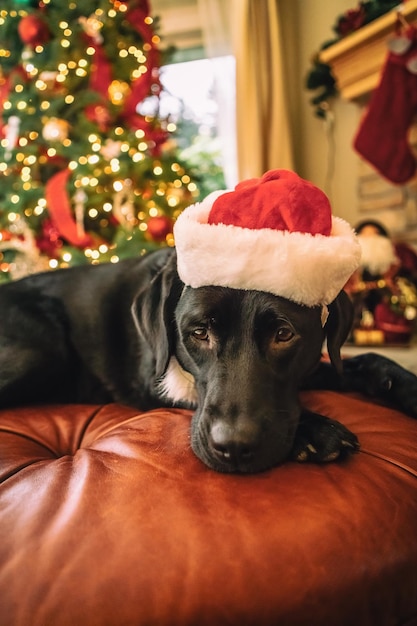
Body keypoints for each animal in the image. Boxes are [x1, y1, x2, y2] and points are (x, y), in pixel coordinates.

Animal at [0, 246, 416, 470]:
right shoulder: (157, 384)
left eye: (283, 334)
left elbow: (361, 362)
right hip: (42, 351)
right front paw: (315, 430)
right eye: (199, 333)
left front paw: (402, 384)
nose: (233, 448)